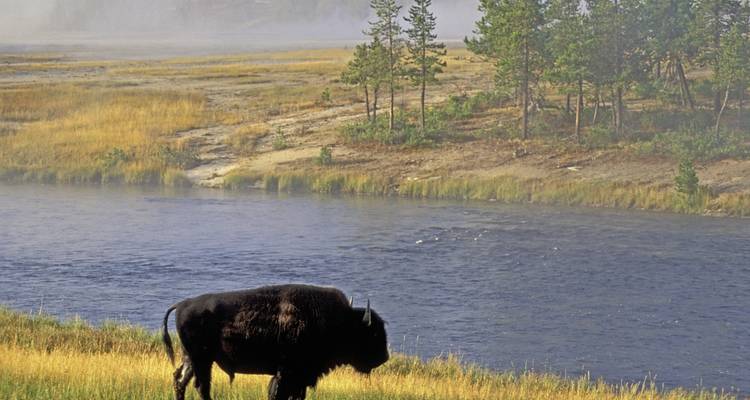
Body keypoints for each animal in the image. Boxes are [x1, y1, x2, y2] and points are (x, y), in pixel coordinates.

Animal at [161, 284, 389, 400]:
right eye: (373, 334)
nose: (384, 357)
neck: (341, 322)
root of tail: (182, 304)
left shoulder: (301, 377)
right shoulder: (288, 372)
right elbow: (278, 393)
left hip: (191, 358)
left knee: (180, 380)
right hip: (202, 359)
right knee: (201, 386)